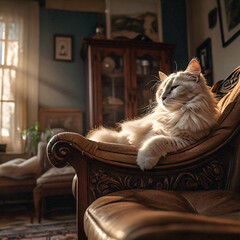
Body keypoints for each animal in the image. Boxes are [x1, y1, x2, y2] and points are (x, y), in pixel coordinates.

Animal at [86, 59, 219, 170]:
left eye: (174, 88)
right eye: (161, 91)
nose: (162, 97)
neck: (175, 114)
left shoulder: (186, 141)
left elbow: (157, 142)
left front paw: (144, 160)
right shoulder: (155, 130)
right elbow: (149, 140)